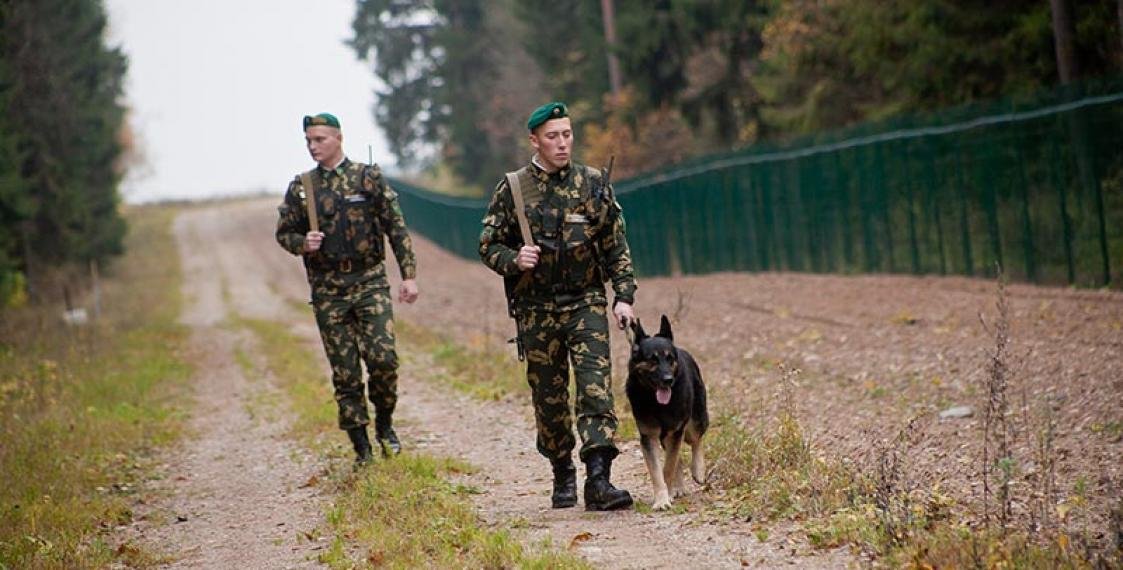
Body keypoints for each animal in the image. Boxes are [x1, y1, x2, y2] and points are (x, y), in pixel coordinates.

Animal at [628, 314, 705, 509]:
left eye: (669, 358)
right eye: (652, 359)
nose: (668, 380)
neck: (658, 404)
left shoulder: (676, 431)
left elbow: (668, 467)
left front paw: (667, 494)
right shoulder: (649, 437)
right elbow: (657, 472)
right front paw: (662, 499)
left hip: (693, 423)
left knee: (696, 441)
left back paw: (699, 470)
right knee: (679, 457)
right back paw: (677, 488)